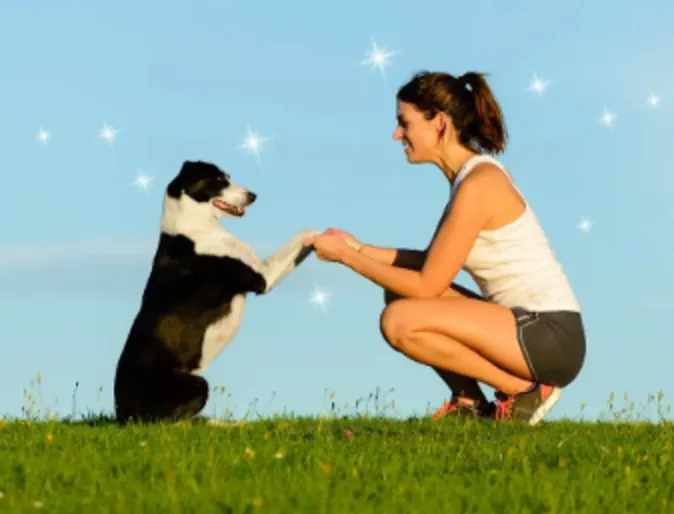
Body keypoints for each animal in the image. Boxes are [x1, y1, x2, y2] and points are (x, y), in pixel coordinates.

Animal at [113, 161, 318, 424]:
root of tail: (122, 415)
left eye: (229, 177)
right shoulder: (263, 276)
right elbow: (303, 233)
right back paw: (222, 424)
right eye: (220, 180)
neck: (195, 225)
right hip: (196, 384)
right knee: (171, 421)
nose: (253, 195)